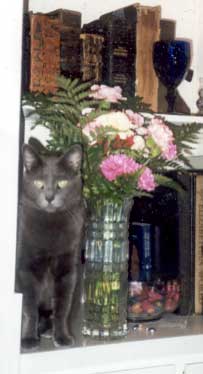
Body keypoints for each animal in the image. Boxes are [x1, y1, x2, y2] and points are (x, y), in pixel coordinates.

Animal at [15, 140, 85, 350]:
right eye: (39, 183)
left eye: (62, 183)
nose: (49, 197)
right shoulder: (26, 267)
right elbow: (29, 306)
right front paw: (28, 339)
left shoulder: (68, 267)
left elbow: (62, 306)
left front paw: (62, 337)